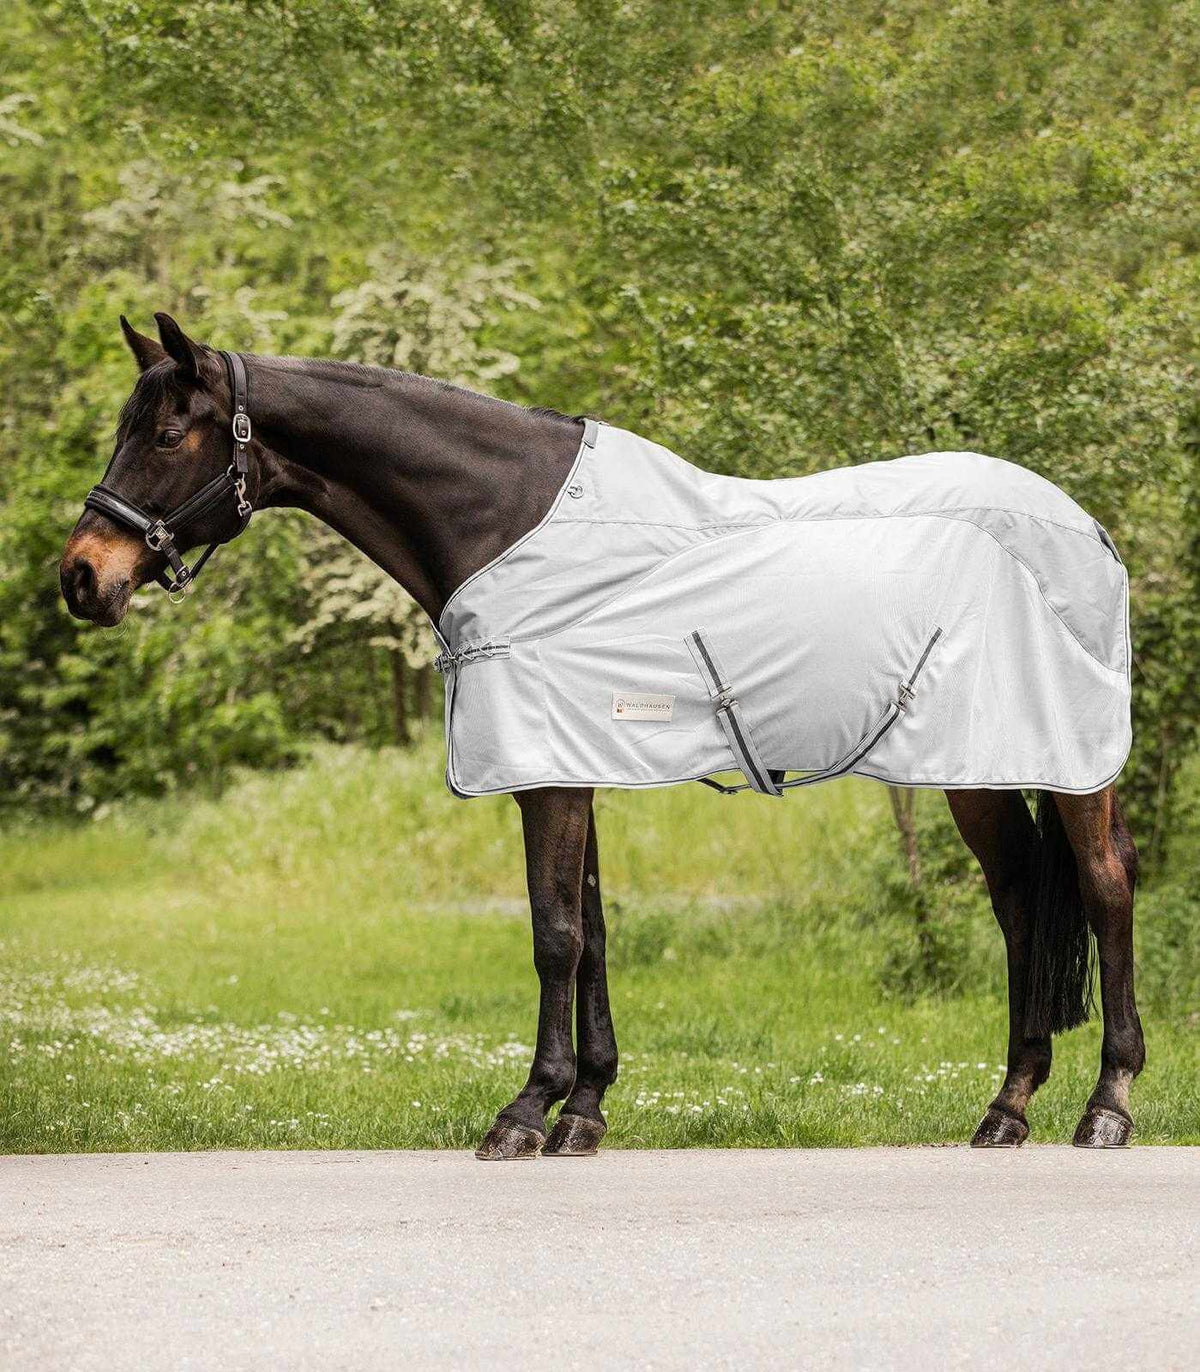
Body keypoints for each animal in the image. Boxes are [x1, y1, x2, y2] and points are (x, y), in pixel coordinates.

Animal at [60, 313, 1145, 1156]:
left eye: (168, 434)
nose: (81, 575)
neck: (508, 522)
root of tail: (1085, 527)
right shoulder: (567, 759)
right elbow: (591, 935)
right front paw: (584, 1108)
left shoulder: (544, 771)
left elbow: (554, 935)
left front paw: (524, 1112)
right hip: (984, 768)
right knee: (1020, 903)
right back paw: (1007, 1109)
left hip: (1071, 766)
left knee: (1103, 888)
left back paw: (1107, 1106)